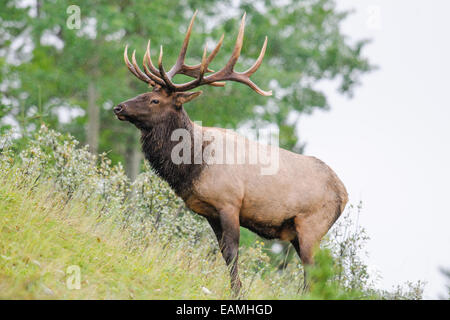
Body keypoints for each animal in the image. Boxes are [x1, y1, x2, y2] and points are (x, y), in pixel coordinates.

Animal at [113, 10, 348, 296]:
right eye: (145, 92)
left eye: (155, 100)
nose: (119, 107)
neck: (193, 165)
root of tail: (344, 194)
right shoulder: (210, 212)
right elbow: (224, 253)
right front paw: (235, 289)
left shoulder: (229, 203)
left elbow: (233, 252)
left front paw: (237, 291)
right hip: (297, 231)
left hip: (312, 225)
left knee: (314, 272)